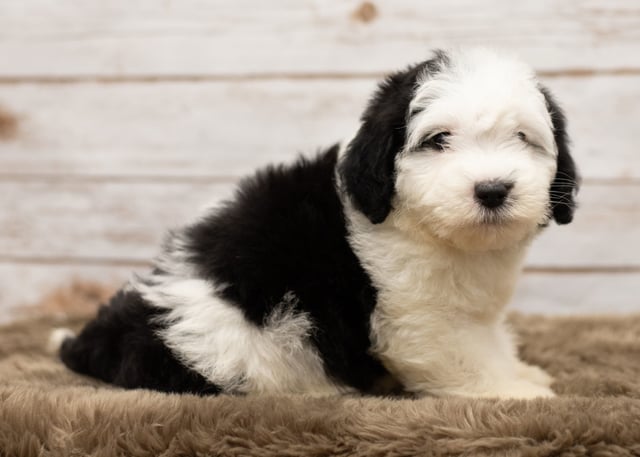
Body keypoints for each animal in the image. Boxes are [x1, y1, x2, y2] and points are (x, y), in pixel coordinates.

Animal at [51, 48, 580, 400]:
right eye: (438, 140)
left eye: (522, 138)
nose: (492, 189)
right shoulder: (416, 315)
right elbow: (458, 356)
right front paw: (513, 392)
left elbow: (488, 338)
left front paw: (520, 373)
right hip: (239, 349)